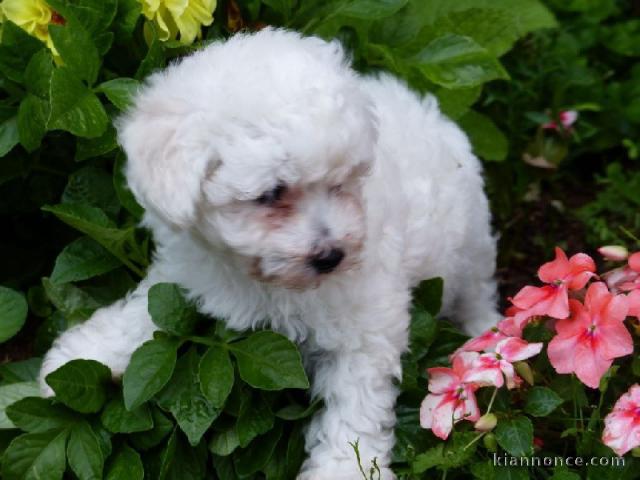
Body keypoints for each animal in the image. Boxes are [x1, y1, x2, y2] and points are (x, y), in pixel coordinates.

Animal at [41, 28, 500, 478]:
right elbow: (142, 314)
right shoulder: (186, 272)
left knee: (477, 291)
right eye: (272, 193)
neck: (262, 280)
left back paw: (484, 336)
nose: (331, 255)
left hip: (471, 241)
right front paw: (79, 357)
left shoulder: (365, 324)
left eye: (340, 182)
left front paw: (342, 468)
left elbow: (355, 406)